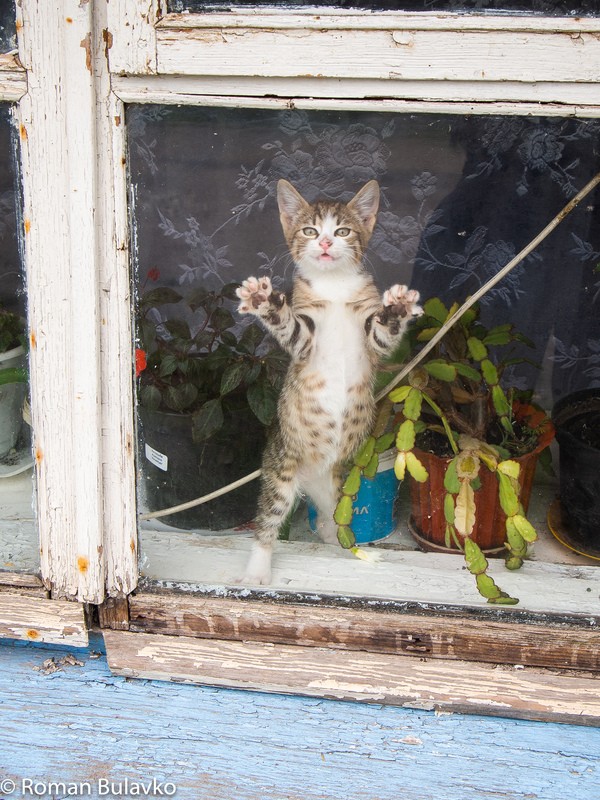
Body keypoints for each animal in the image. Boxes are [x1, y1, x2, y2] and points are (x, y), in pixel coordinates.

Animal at [236, 178, 422, 584]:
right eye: (309, 230)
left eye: (342, 231)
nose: (323, 243)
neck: (334, 286)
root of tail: (314, 477)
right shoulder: (304, 340)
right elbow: (288, 326)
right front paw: (264, 302)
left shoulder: (372, 339)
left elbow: (383, 335)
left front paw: (398, 309)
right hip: (282, 469)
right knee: (268, 520)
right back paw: (258, 568)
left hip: (343, 485)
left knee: (333, 519)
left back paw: (338, 539)